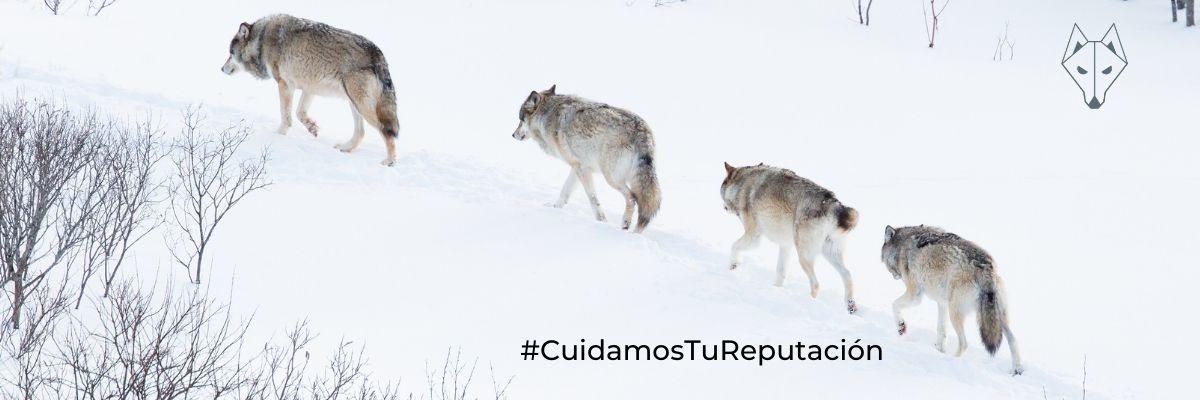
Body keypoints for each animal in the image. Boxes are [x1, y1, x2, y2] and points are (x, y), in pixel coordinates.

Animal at [222, 14, 401, 166]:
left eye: (230, 53)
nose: (222, 69)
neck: (261, 40)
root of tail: (378, 53)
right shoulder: (309, 88)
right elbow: (299, 113)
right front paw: (312, 128)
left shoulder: (284, 84)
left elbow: (286, 117)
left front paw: (278, 136)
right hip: (354, 103)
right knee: (361, 133)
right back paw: (345, 148)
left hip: (361, 105)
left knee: (386, 131)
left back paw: (389, 162)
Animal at [511, 85, 661, 233]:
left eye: (520, 120)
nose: (513, 135)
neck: (547, 116)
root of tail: (642, 131)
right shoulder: (578, 166)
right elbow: (565, 191)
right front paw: (554, 207)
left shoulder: (582, 169)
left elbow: (592, 198)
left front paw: (601, 221)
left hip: (611, 178)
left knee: (632, 197)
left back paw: (626, 225)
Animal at [720, 163, 858, 314]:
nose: (723, 207)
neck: (742, 185)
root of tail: (832, 203)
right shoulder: (785, 245)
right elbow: (780, 271)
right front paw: (775, 289)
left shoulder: (754, 236)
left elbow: (734, 246)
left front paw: (732, 266)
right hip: (829, 254)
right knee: (848, 275)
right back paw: (851, 306)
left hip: (804, 257)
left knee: (816, 284)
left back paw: (809, 303)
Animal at [881, 225, 1024, 375]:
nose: (895, 276)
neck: (902, 246)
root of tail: (986, 268)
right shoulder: (942, 303)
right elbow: (941, 330)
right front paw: (938, 349)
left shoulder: (915, 295)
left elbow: (894, 304)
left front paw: (901, 327)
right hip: (996, 317)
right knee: (1013, 340)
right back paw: (1016, 370)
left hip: (955, 313)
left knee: (964, 343)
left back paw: (951, 360)